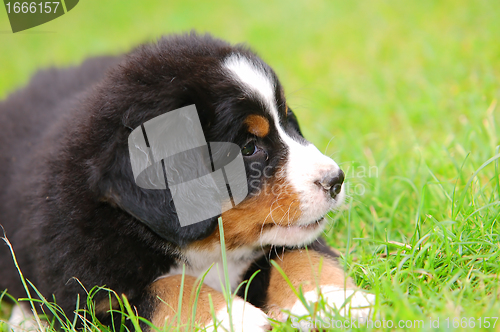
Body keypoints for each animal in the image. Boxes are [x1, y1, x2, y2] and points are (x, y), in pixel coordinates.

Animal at [0, 33, 374, 330]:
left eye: (289, 123)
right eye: (249, 148)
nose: (336, 180)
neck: (209, 250)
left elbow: (297, 255)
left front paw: (335, 298)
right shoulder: (90, 293)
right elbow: (166, 287)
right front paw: (232, 318)